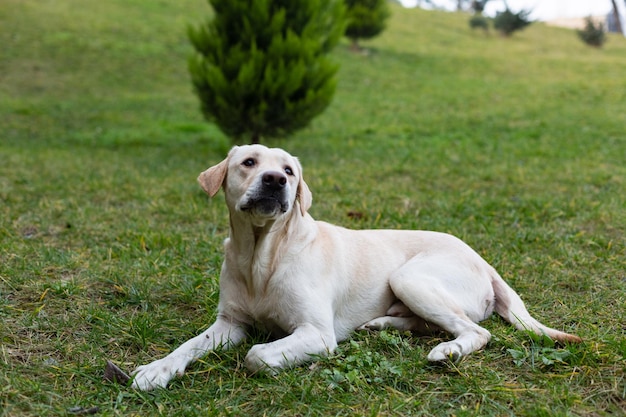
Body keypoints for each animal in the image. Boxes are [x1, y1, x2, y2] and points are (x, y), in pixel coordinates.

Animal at [130, 144, 580, 390]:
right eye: (249, 162)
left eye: (289, 170)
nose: (276, 180)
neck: (262, 256)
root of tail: (483, 260)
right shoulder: (229, 324)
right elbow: (188, 346)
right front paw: (156, 371)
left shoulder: (317, 333)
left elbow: (257, 355)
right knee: (433, 323)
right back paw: (383, 324)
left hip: (409, 276)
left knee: (476, 331)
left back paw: (447, 350)